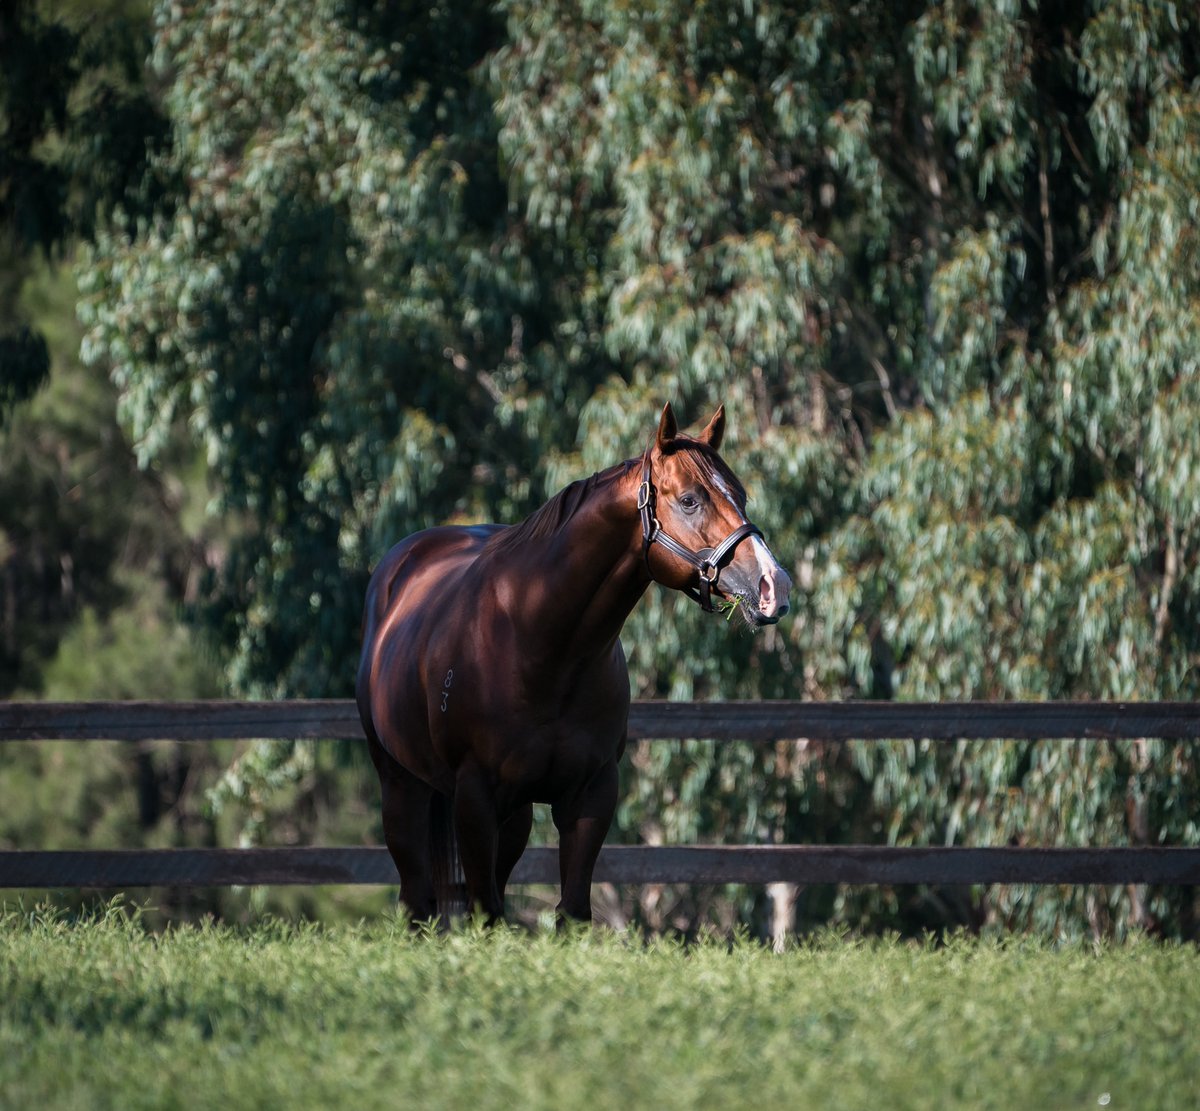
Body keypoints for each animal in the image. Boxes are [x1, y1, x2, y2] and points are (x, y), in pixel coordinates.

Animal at [355, 402, 792, 924]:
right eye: (689, 500)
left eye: (741, 496)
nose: (774, 586)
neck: (541, 647)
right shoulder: (474, 800)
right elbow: (487, 912)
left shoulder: (591, 795)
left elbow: (573, 910)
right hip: (401, 787)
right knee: (416, 900)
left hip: (514, 814)